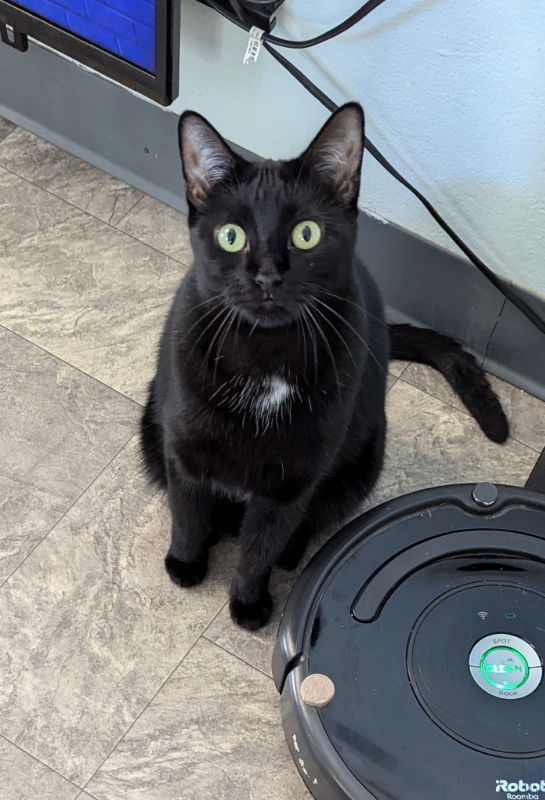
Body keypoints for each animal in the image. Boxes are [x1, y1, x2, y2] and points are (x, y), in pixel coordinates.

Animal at [140, 101, 506, 632]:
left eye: (306, 234)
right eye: (231, 236)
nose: (267, 276)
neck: (266, 357)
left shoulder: (292, 482)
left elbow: (260, 547)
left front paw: (249, 603)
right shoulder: (184, 449)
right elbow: (187, 513)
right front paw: (186, 565)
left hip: (363, 461)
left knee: (301, 528)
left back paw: (289, 555)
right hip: (151, 429)